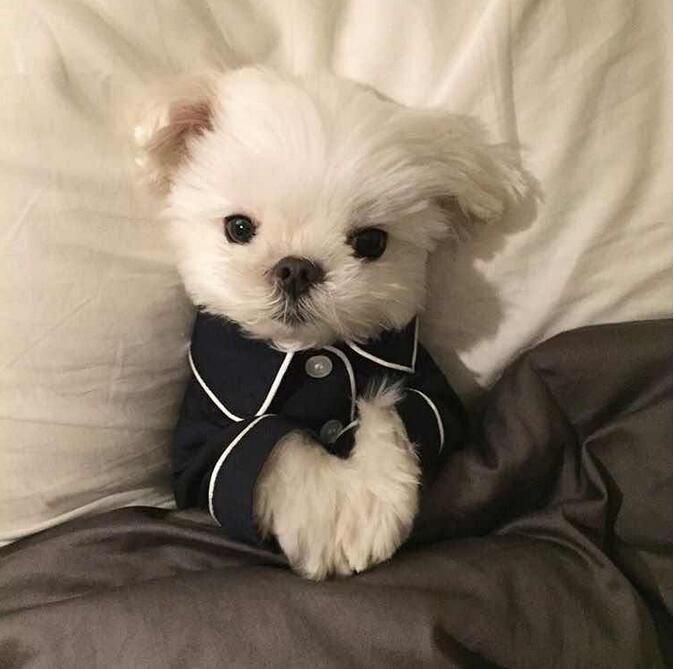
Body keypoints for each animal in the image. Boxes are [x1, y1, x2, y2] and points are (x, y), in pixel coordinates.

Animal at [134, 69, 524, 580]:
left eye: (371, 242)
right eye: (238, 228)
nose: (296, 268)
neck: (308, 350)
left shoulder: (438, 401)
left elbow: (390, 408)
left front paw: (366, 501)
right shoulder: (200, 445)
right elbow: (274, 440)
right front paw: (330, 516)